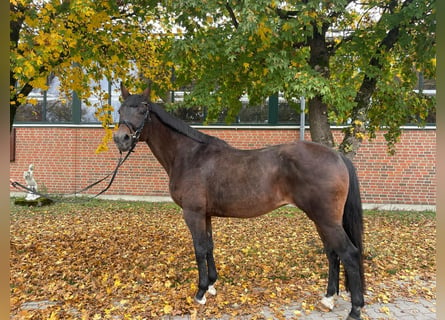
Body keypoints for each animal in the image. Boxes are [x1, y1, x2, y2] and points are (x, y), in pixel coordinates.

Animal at [112, 85, 364, 320]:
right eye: (120, 109)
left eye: (142, 110)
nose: (121, 139)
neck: (189, 156)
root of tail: (336, 156)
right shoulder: (205, 214)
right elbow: (209, 246)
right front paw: (212, 285)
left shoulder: (193, 213)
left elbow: (199, 248)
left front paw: (201, 293)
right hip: (321, 219)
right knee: (332, 253)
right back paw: (329, 298)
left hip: (326, 220)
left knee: (349, 253)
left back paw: (355, 309)